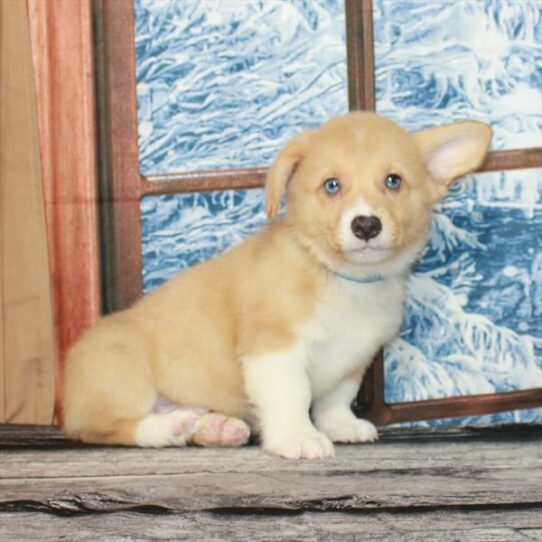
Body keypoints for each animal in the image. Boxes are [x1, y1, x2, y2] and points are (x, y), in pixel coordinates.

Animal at [63, 112, 492, 462]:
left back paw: (211, 427)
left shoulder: (354, 359)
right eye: (332, 185)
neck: (343, 280)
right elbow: (293, 397)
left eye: (393, 181)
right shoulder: (275, 350)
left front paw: (342, 426)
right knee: (110, 428)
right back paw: (170, 427)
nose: (366, 225)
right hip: (121, 374)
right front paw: (297, 438)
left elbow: (335, 400)